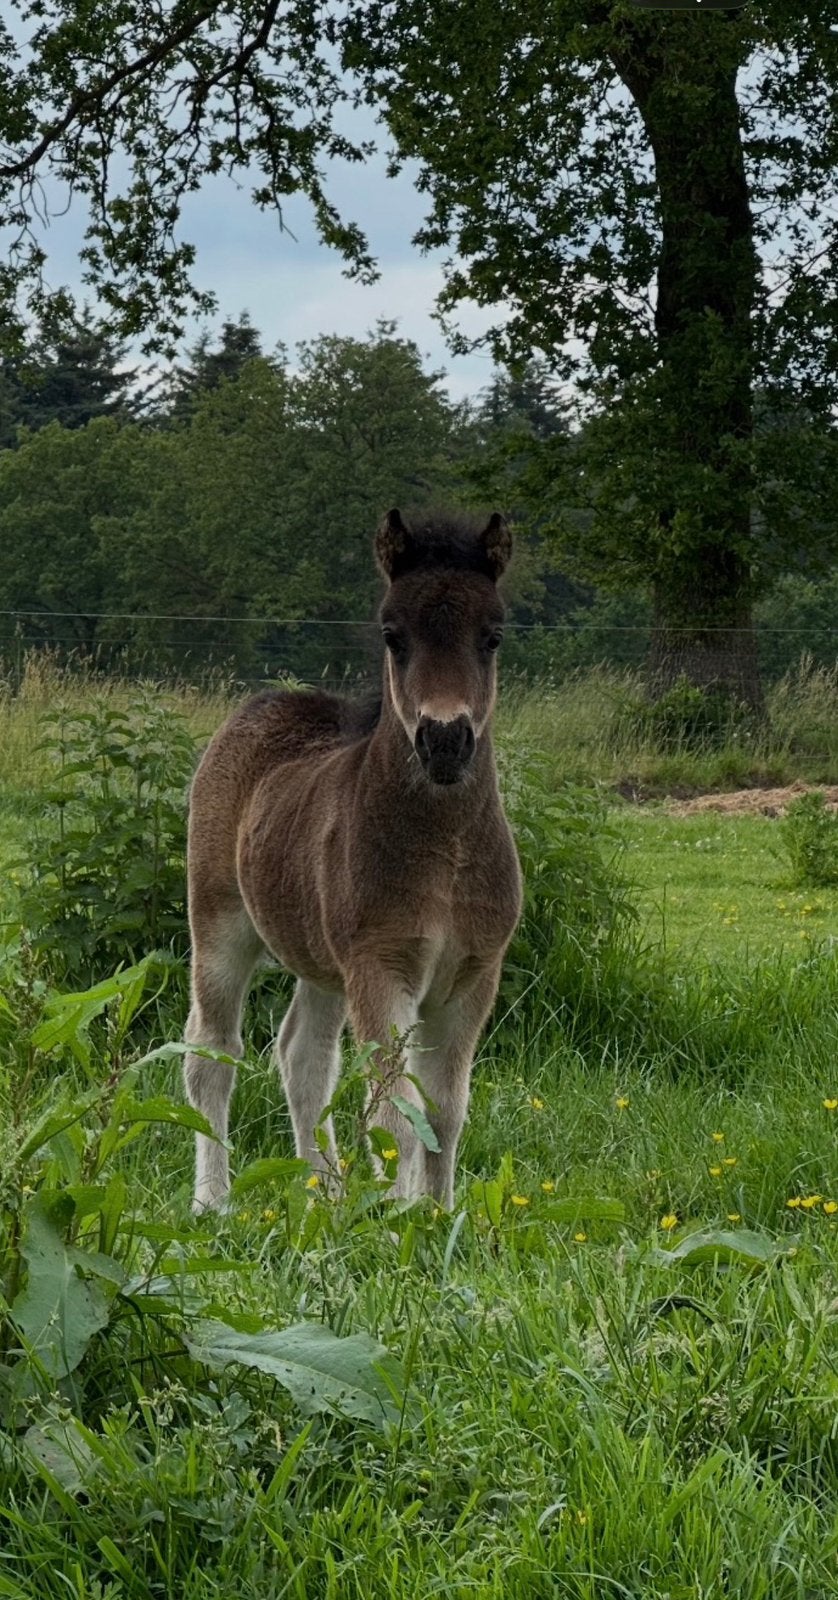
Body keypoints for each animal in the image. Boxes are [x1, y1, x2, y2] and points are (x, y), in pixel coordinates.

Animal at [182, 508, 523, 1212]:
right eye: (393, 635)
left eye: (493, 636)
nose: (444, 740)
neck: (446, 852)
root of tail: (263, 703)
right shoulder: (381, 967)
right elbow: (396, 1114)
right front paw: (398, 1217)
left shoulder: (474, 977)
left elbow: (446, 1110)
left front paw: (439, 1216)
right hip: (220, 923)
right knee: (211, 1052)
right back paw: (214, 1201)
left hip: (321, 961)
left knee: (302, 1056)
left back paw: (326, 1196)